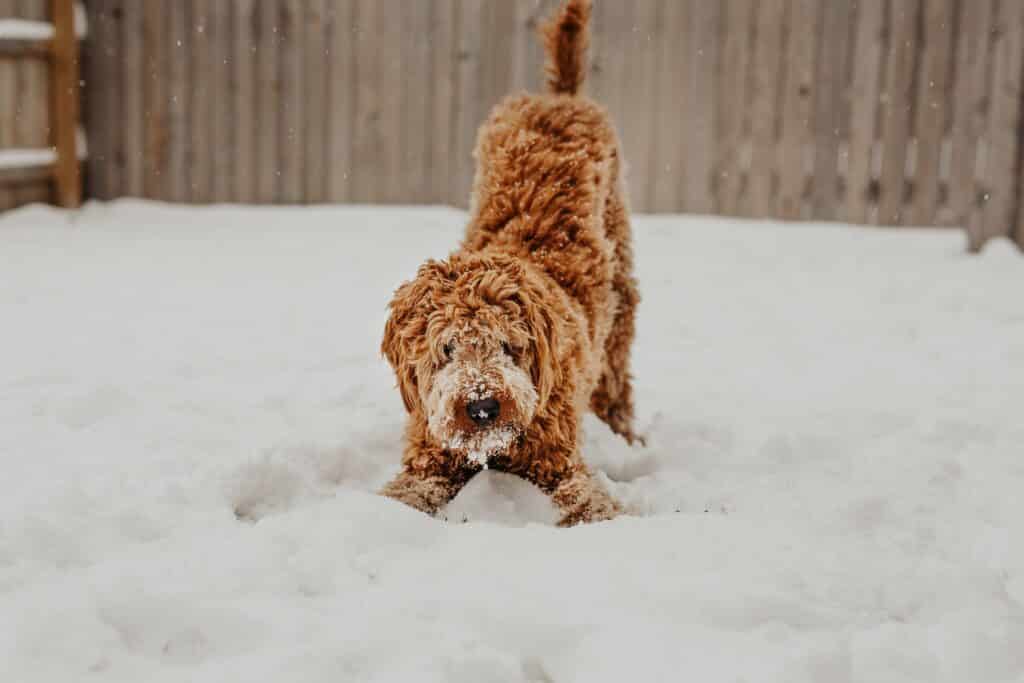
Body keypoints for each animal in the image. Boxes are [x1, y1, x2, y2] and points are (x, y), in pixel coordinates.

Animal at [382, 0, 638, 528]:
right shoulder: (429, 454)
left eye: (508, 344)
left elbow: (588, 500)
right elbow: (407, 492)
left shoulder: (558, 460)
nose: (482, 406)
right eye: (446, 349)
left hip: (621, 290)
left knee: (617, 374)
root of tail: (559, 96)